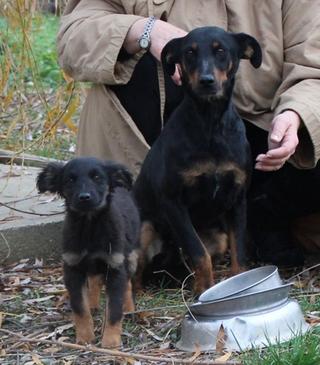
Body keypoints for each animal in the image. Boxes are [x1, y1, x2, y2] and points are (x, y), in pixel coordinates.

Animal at [37, 157, 139, 346]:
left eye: (97, 177)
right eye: (70, 180)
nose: (84, 197)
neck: (90, 225)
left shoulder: (115, 267)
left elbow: (114, 309)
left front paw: (111, 342)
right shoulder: (73, 268)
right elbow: (80, 308)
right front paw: (85, 338)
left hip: (130, 256)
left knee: (127, 283)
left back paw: (129, 309)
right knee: (93, 281)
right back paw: (93, 303)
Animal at [135, 26, 262, 292]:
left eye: (221, 51)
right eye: (189, 53)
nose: (206, 81)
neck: (210, 126)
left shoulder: (238, 199)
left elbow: (239, 252)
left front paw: (238, 284)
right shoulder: (173, 202)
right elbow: (198, 252)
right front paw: (205, 289)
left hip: (218, 237)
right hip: (144, 229)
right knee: (132, 274)